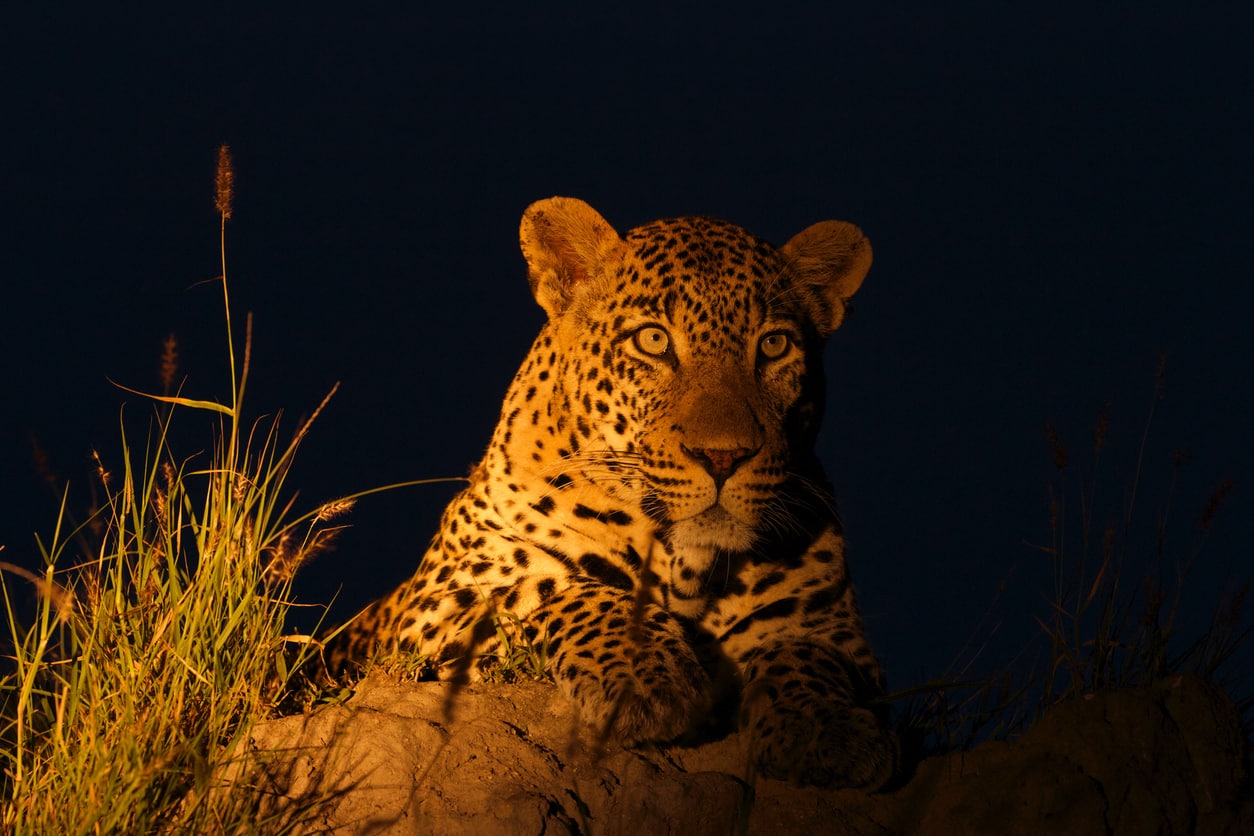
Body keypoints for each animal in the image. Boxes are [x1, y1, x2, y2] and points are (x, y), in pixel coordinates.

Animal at [330, 196, 897, 788]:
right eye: (653, 340)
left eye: (774, 345)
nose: (724, 457)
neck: (686, 563)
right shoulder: (436, 605)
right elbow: (559, 590)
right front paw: (645, 679)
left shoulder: (838, 634)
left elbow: (804, 654)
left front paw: (827, 728)